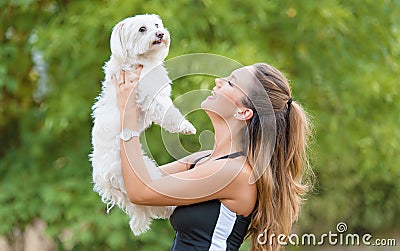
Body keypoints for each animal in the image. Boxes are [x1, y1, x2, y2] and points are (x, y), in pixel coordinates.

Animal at [91, 14, 197, 235]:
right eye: (142, 29)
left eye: (156, 25)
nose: (160, 33)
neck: (143, 61)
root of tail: (104, 179)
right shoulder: (149, 97)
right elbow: (168, 113)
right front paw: (185, 126)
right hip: (146, 172)